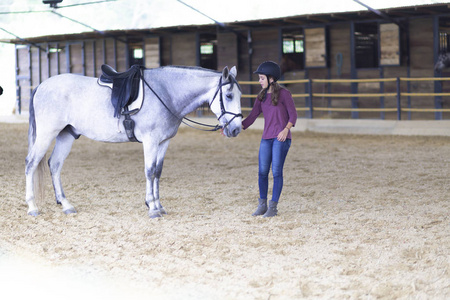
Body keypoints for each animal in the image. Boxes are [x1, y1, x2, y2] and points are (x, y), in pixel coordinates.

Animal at [24, 65, 243, 218]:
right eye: (228, 95)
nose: (236, 129)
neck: (166, 93)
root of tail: (41, 86)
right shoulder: (150, 140)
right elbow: (149, 171)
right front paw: (152, 208)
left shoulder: (163, 142)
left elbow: (157, 172)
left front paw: (159, 205)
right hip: (47, 134)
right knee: (31, 164)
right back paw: (32, 207)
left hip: (66, 135)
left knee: (55, 164)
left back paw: (66, 205)